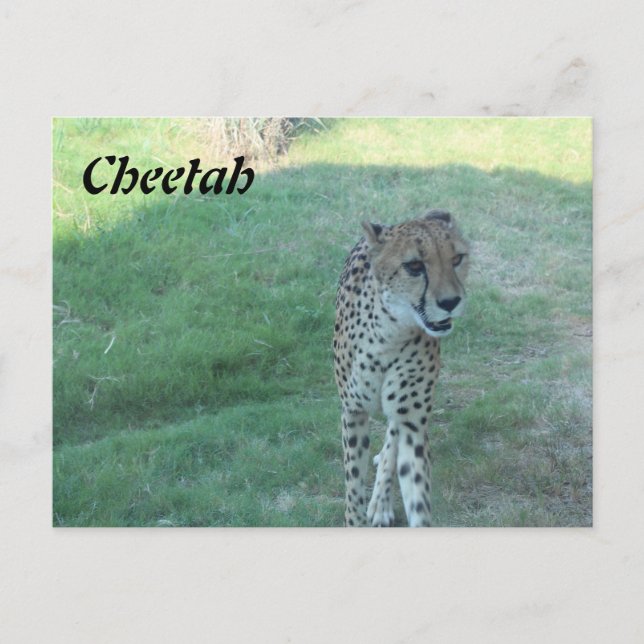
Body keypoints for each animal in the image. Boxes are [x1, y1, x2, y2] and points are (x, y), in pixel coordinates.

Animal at [333, 210, 470, 527]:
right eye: (415, 266)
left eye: (457, 259)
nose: (450, 302)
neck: (389, 333)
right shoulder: (353, 410)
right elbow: (353, 484)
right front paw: (354, 520)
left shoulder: (411, 421)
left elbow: (417, 494)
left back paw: (381, 502)